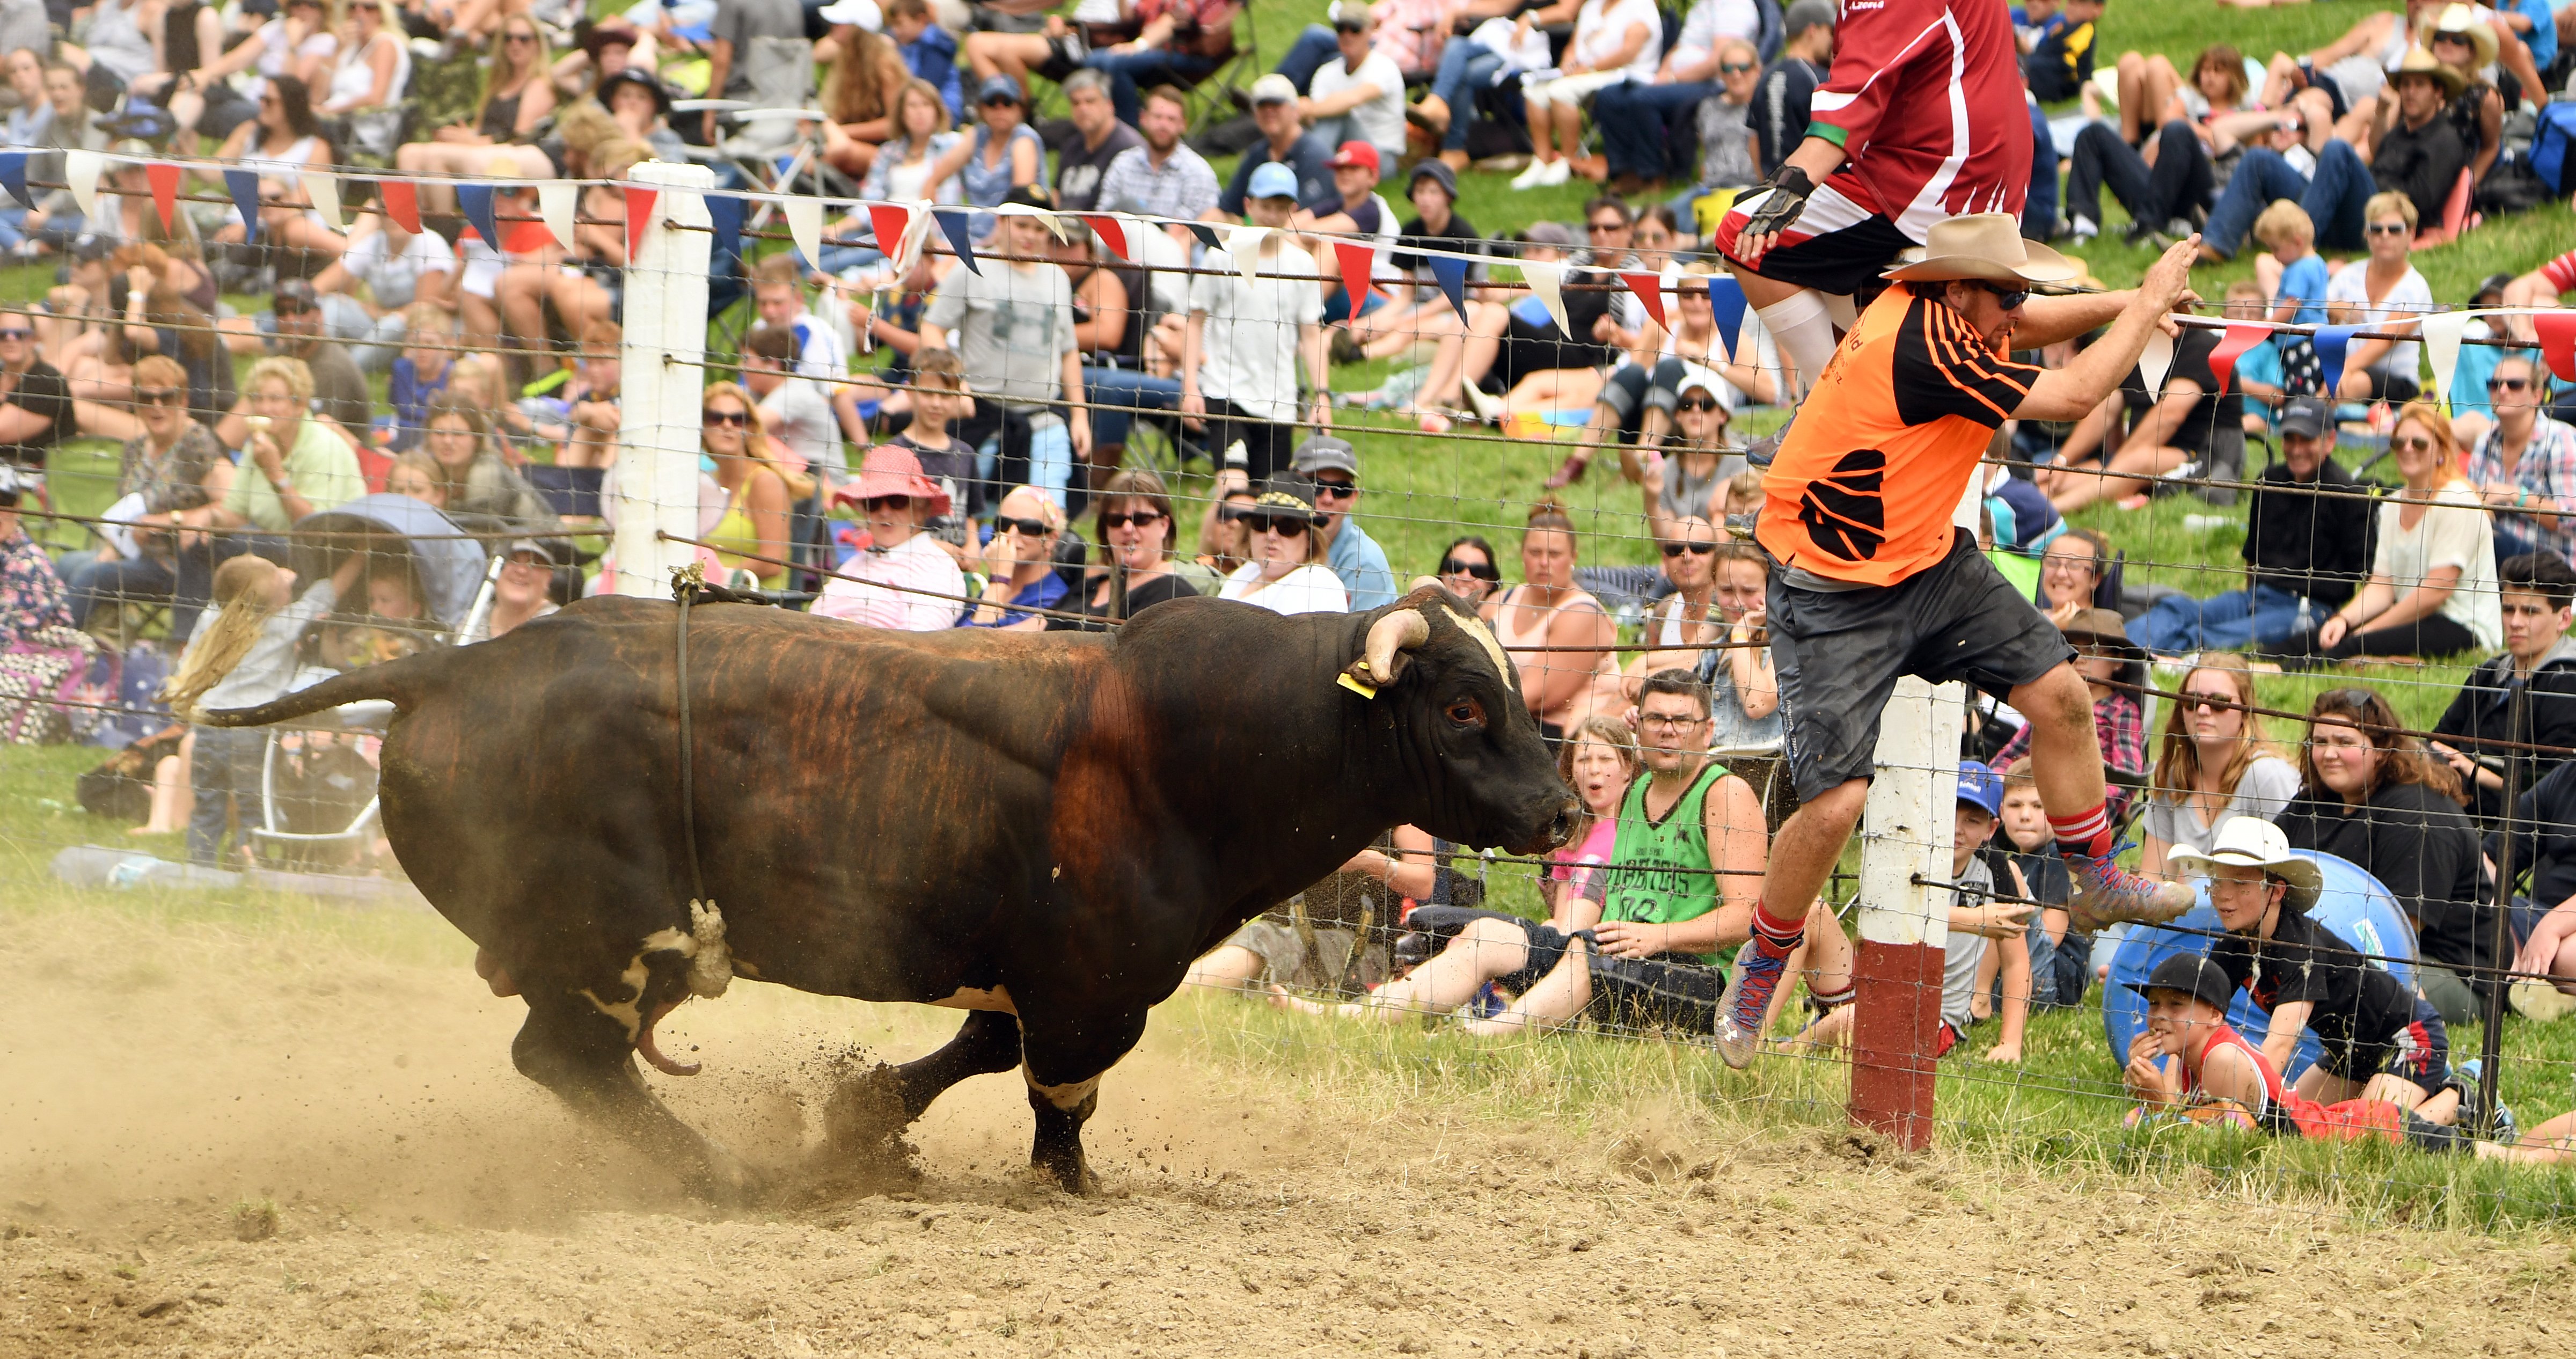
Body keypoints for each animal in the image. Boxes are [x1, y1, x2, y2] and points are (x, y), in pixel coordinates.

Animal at [211, 587, 1566, 1199]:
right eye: (1461, 707)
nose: (1558, 810)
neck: (1193, 743)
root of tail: (452, 668)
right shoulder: (1096, 982)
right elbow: (1059, 1096)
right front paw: (1067, 1187)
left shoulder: (1037, 967)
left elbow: (983, 1046)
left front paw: (860, 1117)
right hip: (607, 941)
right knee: (566, 1056)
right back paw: (722, 1173)